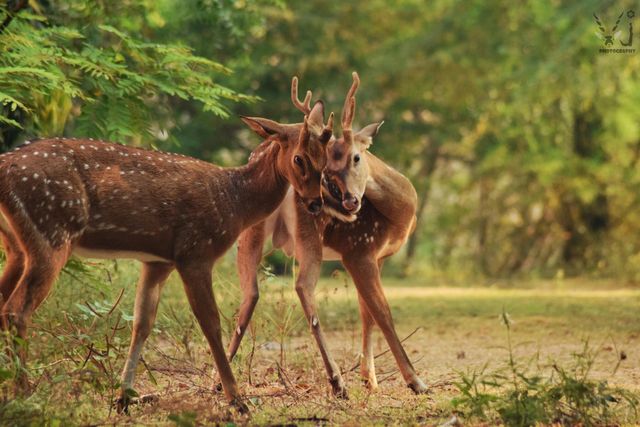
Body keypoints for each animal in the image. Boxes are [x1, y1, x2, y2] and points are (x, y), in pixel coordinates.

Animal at [228, 72, 428, 398]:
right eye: (327, 171)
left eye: (356, 157)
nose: (348, 203)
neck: (401, 214)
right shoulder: (358, 249)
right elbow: (382, 312)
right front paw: (414, 381)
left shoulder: (378, 256)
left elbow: (366, 312)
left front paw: (370, 380)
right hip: (310, 232)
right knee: (302, 287)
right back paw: (337, 381)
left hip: (252, 231)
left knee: (250, 291)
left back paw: (220, 380)